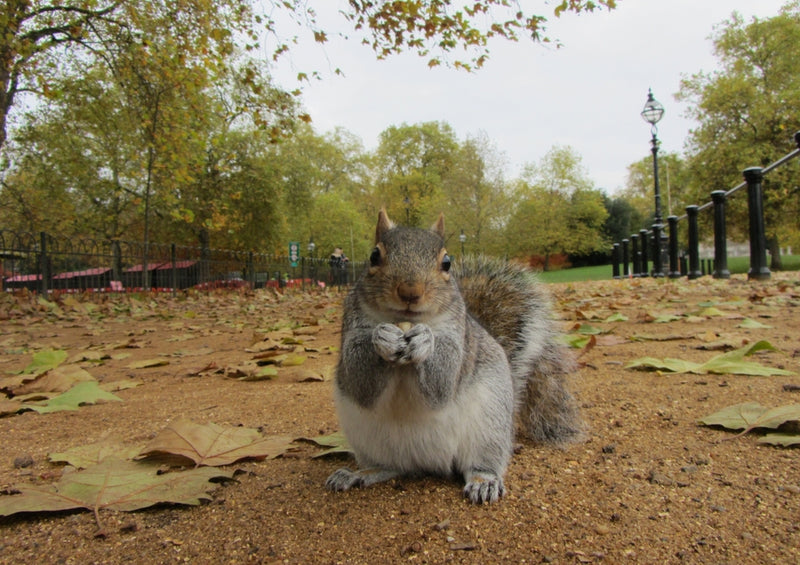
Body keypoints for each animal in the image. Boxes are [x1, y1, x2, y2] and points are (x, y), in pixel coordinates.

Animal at [324, 208, 580, 502]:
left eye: (447, 263)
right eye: (374, 256)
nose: (410, 292)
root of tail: (426, 462)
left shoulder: (458, 338)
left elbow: (442, 383)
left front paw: (425, 341)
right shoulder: (351, 326)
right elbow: (359, 381)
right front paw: (382, 337)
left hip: (489, 427)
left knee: (481, 462)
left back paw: (484, 481)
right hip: (367, 439)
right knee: (389, 467)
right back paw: (358, 474)